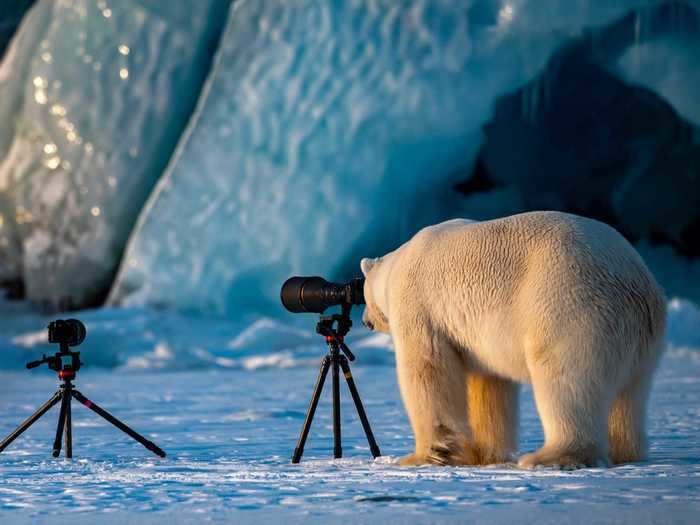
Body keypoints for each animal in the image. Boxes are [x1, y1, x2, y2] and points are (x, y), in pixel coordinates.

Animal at [360, 211, 668, 468]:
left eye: (363, 296)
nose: (365, 320)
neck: (397, 264)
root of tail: (635, 282)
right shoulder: (478, 338)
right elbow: (488, 385)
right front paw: (480, 454)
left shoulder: (419, 306)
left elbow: (428, 370)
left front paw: (423, 456)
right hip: (640, 340)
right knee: (630, 395)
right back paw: (625, 452)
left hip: (570, 306)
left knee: (565, 381)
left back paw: (549, 457)